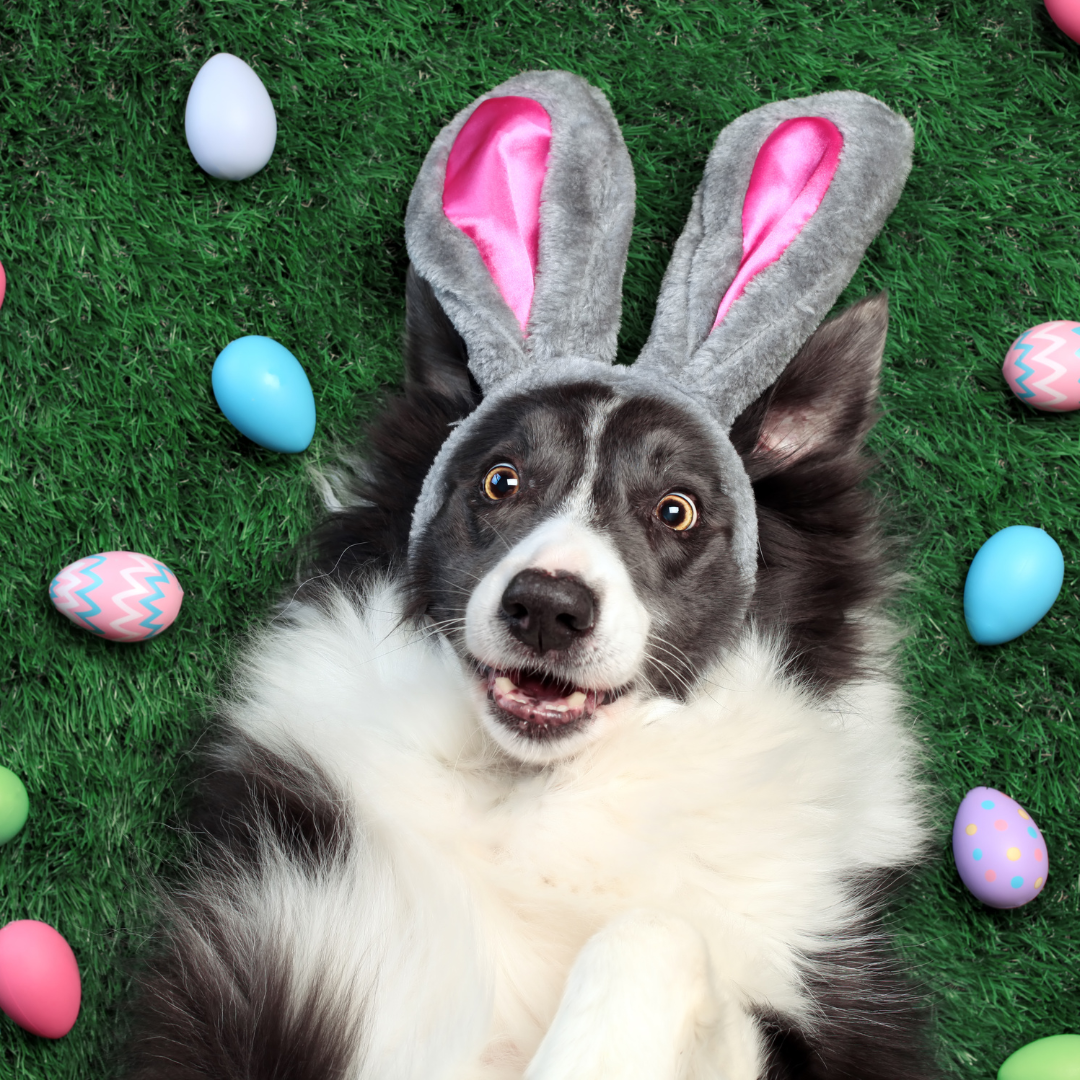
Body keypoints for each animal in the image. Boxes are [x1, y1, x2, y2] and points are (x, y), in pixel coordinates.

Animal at [120, 71, 937, 1075]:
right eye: (501, 479)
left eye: (676, 509)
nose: (547, 607)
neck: (543, 795)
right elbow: (654, 937)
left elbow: (654, 932)